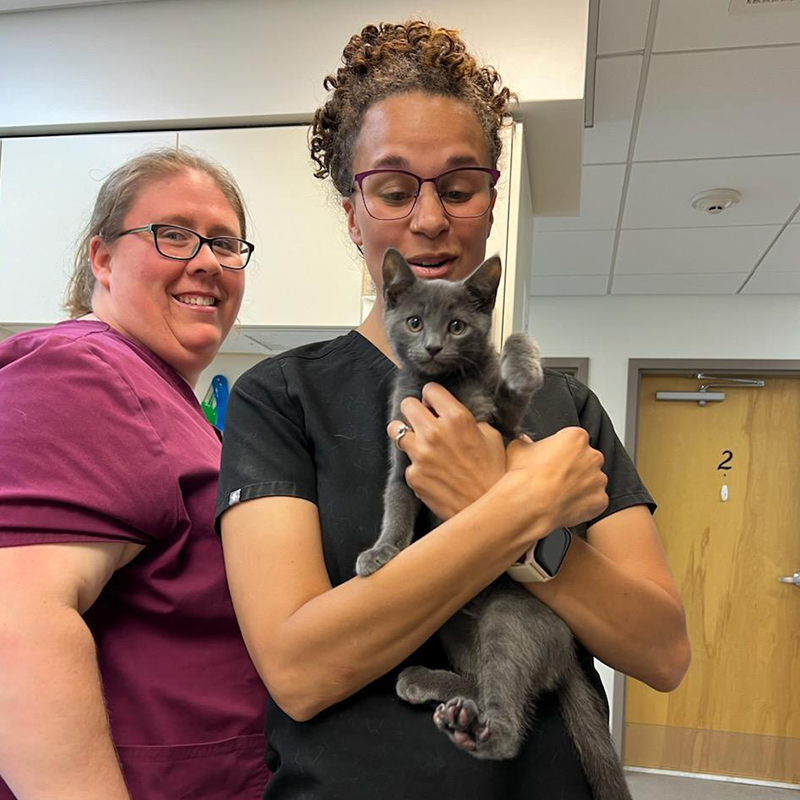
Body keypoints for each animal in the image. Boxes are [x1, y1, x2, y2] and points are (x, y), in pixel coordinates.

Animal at [356, 248, 632, 800]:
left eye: (457, 326)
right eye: (414, 322)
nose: (433, 346)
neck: (445, 385)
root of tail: (565, 653)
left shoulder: (504, 427)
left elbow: (511, 388)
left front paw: (521, 363)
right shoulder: (404, 456)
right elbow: (396, 504)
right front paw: (383, 552)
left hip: (511, 617)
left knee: (508, 706)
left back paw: (473, 727)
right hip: (452, 623)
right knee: (488, 682)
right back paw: (427, 684)